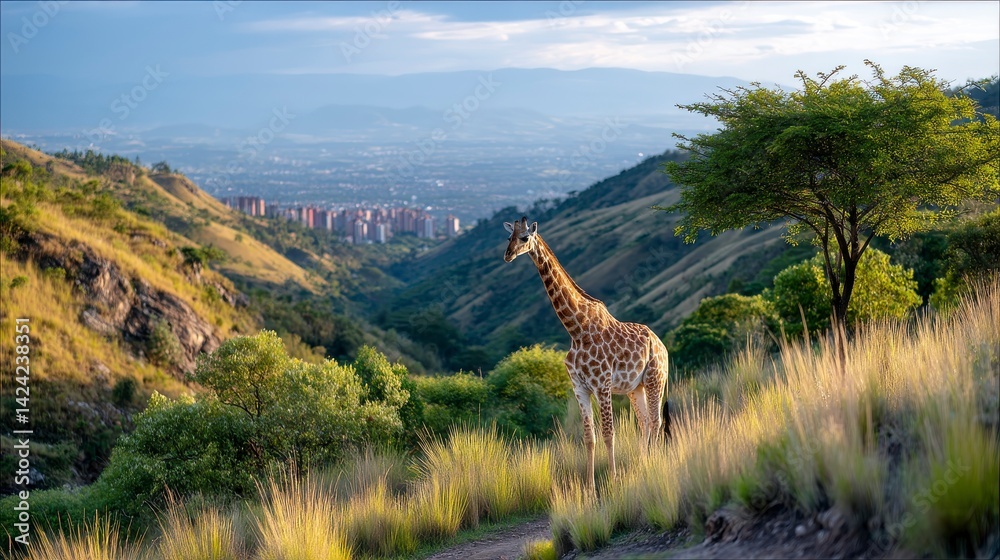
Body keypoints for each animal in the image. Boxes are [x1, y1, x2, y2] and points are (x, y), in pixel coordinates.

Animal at [503, 216, 669, 489]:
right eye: (508, 237)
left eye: (525, 237)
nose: (507, 255)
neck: (576, 329)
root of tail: (662, 345)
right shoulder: (579, 387)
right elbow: (589, 437)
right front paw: (589, 487)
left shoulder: (602, 384)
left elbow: (609, 434)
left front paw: (613, 479)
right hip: (635, 387)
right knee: (644, 421)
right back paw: (643, 463)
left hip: (656, 378)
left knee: (656, 420)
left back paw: (653, 464)